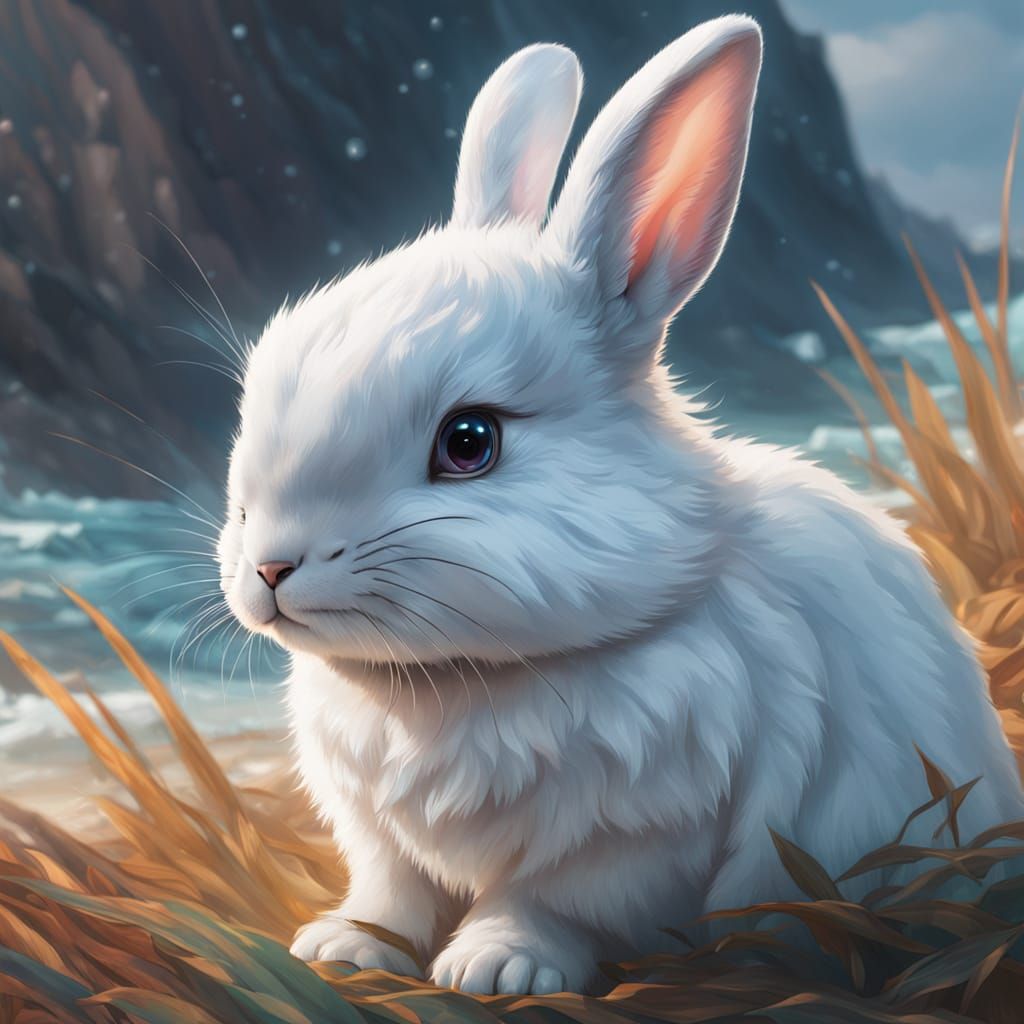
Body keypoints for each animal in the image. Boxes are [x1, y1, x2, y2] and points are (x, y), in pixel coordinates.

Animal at [218, 15, 1024, 996]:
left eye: (469, 442)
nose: (269, 567)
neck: (457, 680)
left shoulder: (628, 843)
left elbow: (548, 905)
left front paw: (495, 967)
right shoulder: (378, 838)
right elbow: (392, 891)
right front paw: (345, 947)